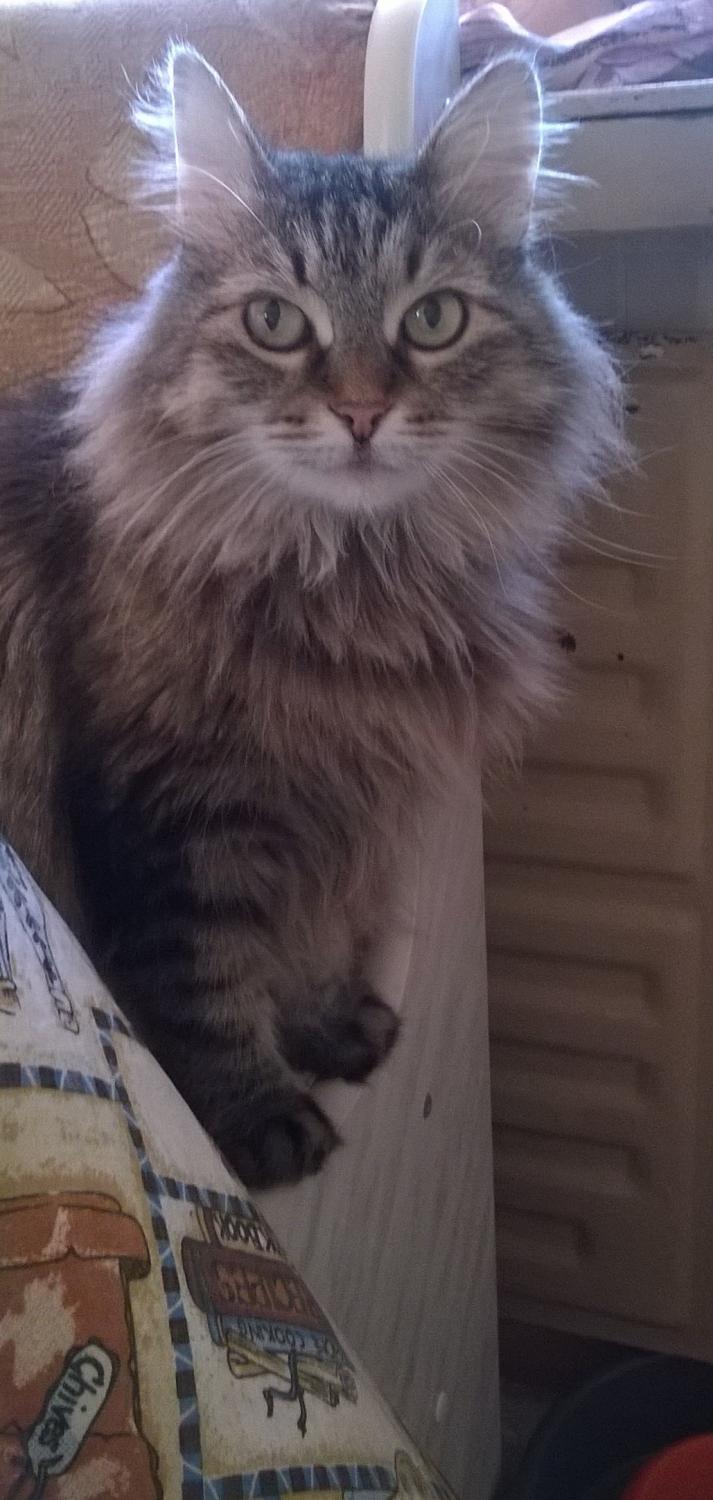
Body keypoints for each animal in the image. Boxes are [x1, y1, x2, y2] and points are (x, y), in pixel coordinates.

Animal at [0, 46, 622, 1187]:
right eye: (276, 323)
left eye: (431, 319)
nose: (362, 411)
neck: (344, 591)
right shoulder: (175, 817)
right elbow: (204, 983)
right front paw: (257, 1120)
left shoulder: (333, 817)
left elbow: (307, 953)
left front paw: (329, 1028)